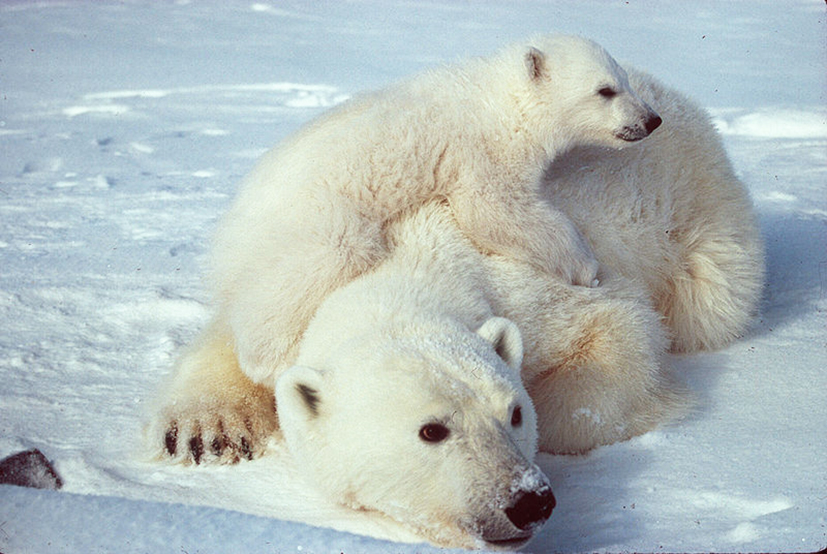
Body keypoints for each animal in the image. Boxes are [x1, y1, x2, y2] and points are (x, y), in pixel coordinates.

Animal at [210, 33, 664, 384]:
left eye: (625, 79)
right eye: (605, 90)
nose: (651, 120)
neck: (500, 100)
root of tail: (228, 234)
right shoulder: (482, 150)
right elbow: (494, 211)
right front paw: (586, 267)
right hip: (315, 219)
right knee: (312, 269)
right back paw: (271, 360)